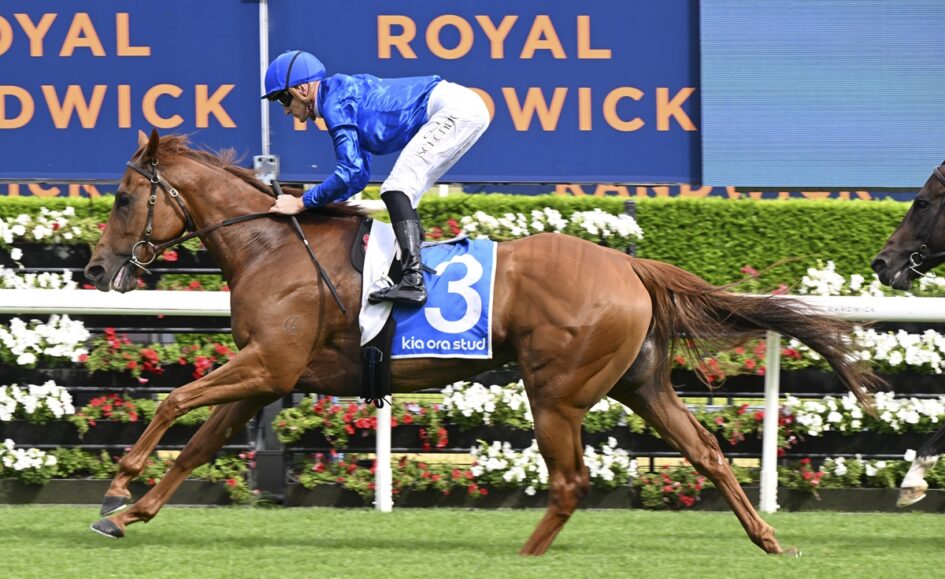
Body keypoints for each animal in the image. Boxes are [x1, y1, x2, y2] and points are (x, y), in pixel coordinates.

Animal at [83, 129, 880, 555]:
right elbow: (197, 443)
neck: (272, 245)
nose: (93, 269)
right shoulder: (267, 375)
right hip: (641, 383)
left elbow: (173, 402)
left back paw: (523, 557)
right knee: (707, 452)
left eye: (122, 197)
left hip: (556, 392)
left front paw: (118, 484)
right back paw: (766, 539)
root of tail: (630, 264)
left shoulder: (266, 365)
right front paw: (126, 514)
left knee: (570, 482)